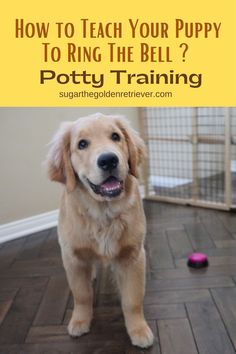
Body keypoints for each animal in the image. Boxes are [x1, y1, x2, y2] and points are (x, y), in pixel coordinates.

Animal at [47, 114, 154, 348]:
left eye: (115, 136)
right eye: (82, 144)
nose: (108, 160)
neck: (103, 214)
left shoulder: (133, 256)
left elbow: (132, 300)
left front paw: (138, 330)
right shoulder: (73, 258)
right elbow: (82, 295)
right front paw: (80, 321)